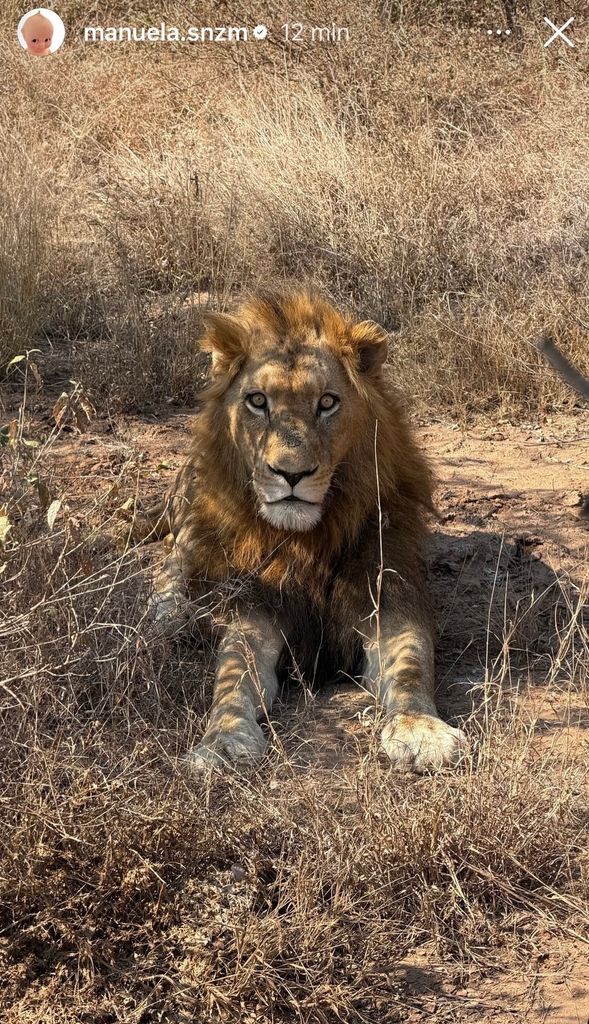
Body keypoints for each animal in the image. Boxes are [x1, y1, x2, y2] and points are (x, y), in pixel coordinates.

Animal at [143, 289, 467, 772]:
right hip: (195, 516)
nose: (291, 473)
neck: (309, 539)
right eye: (258, 401)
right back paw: (170, 620)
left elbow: (410, 665)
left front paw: (422, 731)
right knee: (169, 564)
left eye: (327, 403)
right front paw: (222, 741)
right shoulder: (258, 607)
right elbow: (233, 676)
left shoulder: (389, 596)